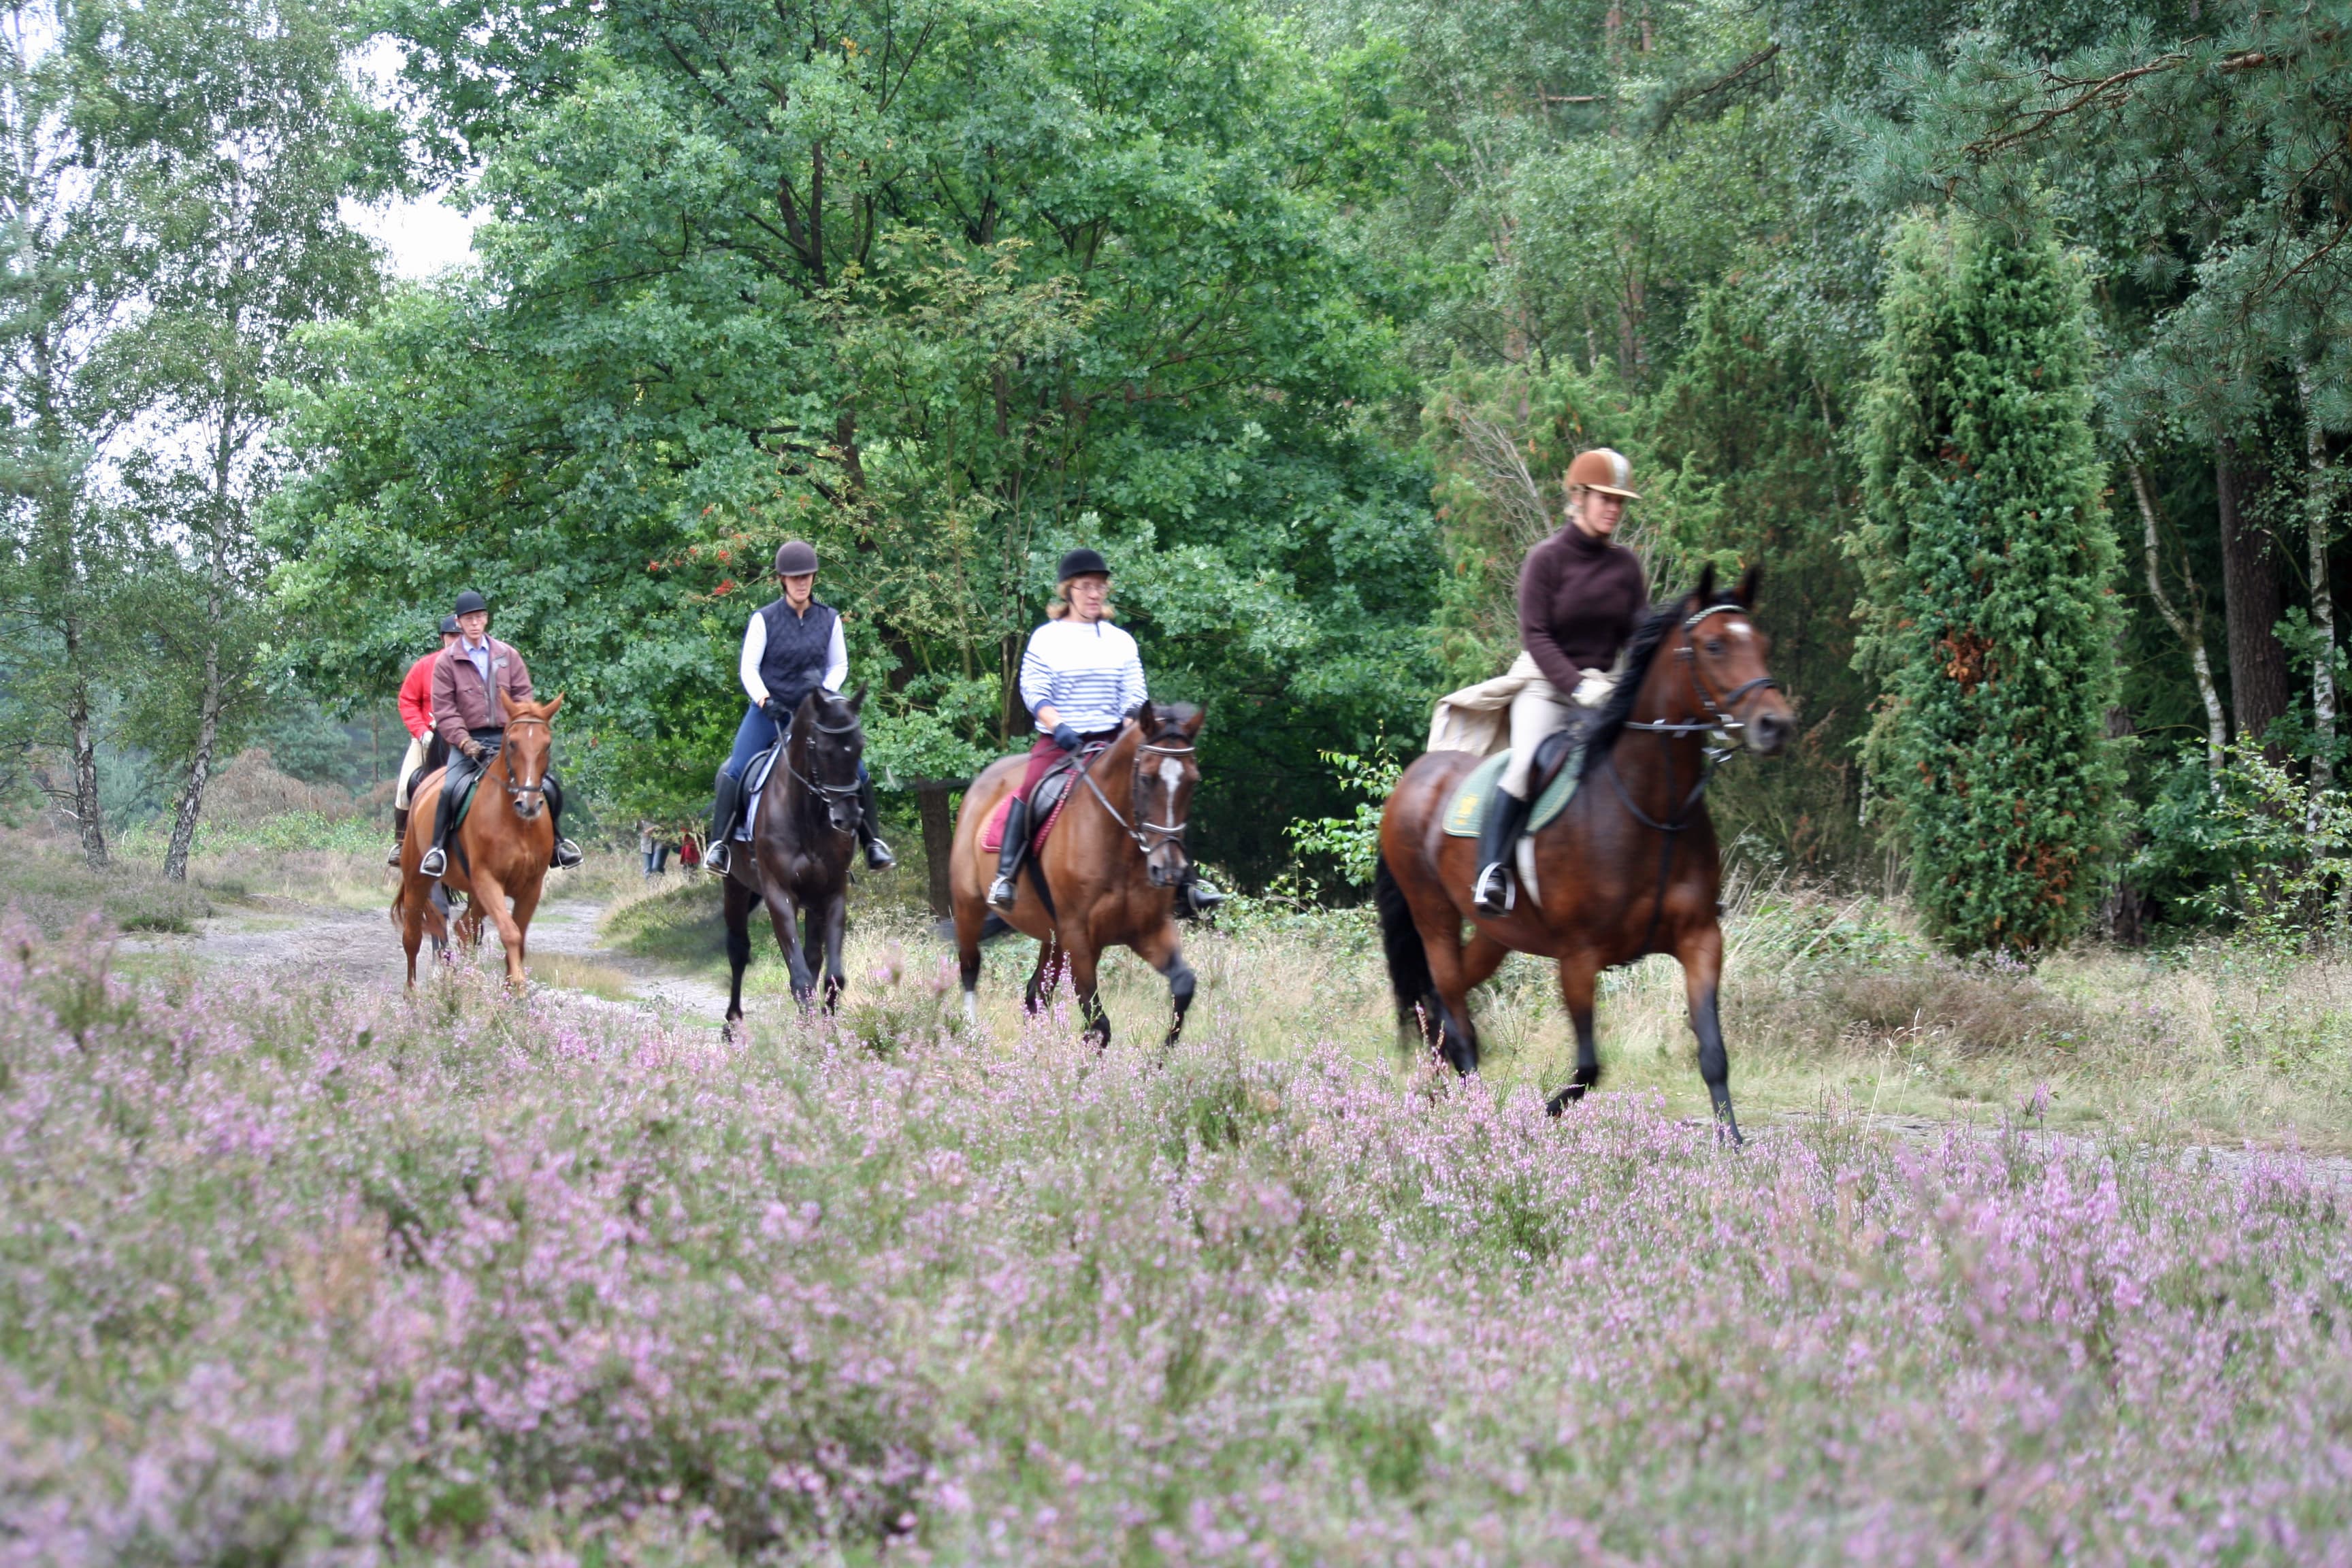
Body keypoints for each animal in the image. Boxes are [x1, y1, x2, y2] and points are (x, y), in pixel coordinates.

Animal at [395, 691, 564, 987]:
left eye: (547, 745)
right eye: (512, 744)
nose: (529, 804)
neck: (516, 824)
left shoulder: (531, 887)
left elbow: (517, 937)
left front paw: (512, 990)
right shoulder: (487, 880)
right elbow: (509, 932)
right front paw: (517, 985)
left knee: (464, 927)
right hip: (418, 880)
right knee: (414, 936)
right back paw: (415, 992)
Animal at [715, 681, 875, 1025]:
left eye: (859, 746)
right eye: (823, 750)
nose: (848, 818)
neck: (807, 816)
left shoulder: (831, 894)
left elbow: (832, 977)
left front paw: (827, 1033)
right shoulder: (779, 895)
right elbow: (800, 980)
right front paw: (810, 1034)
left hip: (812, 902)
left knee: (814, 960)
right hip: (735, 887)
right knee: (738, 951)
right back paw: (732, 1023)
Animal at [950, 705, 1213, 1048]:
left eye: (1193, 782)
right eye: (1146, 778)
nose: (1168, 870)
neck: (1119, 849)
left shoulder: (1149, 930)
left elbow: (1183, 986)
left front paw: (1161, 1058)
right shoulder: (1079, 936)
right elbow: (1098, 1025)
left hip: (1052, 935)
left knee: (1036, 994)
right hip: (969, 906)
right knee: (970, 968)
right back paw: (973, 1038)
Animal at [1373, 566, 1787, 1142]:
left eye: (1763, 645)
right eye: (1715, 645)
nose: (1776, 725)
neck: (1651, 807)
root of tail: (1413, 779)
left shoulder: (1702, 940)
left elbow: (1713, 1053)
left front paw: (1734, 1146)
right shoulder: (1578, 957)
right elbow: (1589, 1066)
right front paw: (1540, 1116)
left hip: (1496, 934)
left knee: (1436, 1001)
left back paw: (1435, 1094)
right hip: (1433, 916)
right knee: (1454, 1013)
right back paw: (1479, 1113)